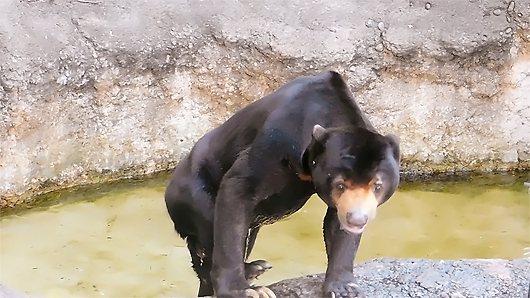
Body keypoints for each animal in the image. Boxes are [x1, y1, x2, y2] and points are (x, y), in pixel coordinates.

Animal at [163, 70, 398, 298]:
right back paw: (249, 271)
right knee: (212, 226)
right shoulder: (276, 141)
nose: (357, 219)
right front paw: (247, 291)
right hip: (193, 193)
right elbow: (237, 188)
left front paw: (343, 288)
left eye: (377, 186)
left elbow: (336, 225)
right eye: (340, 184)